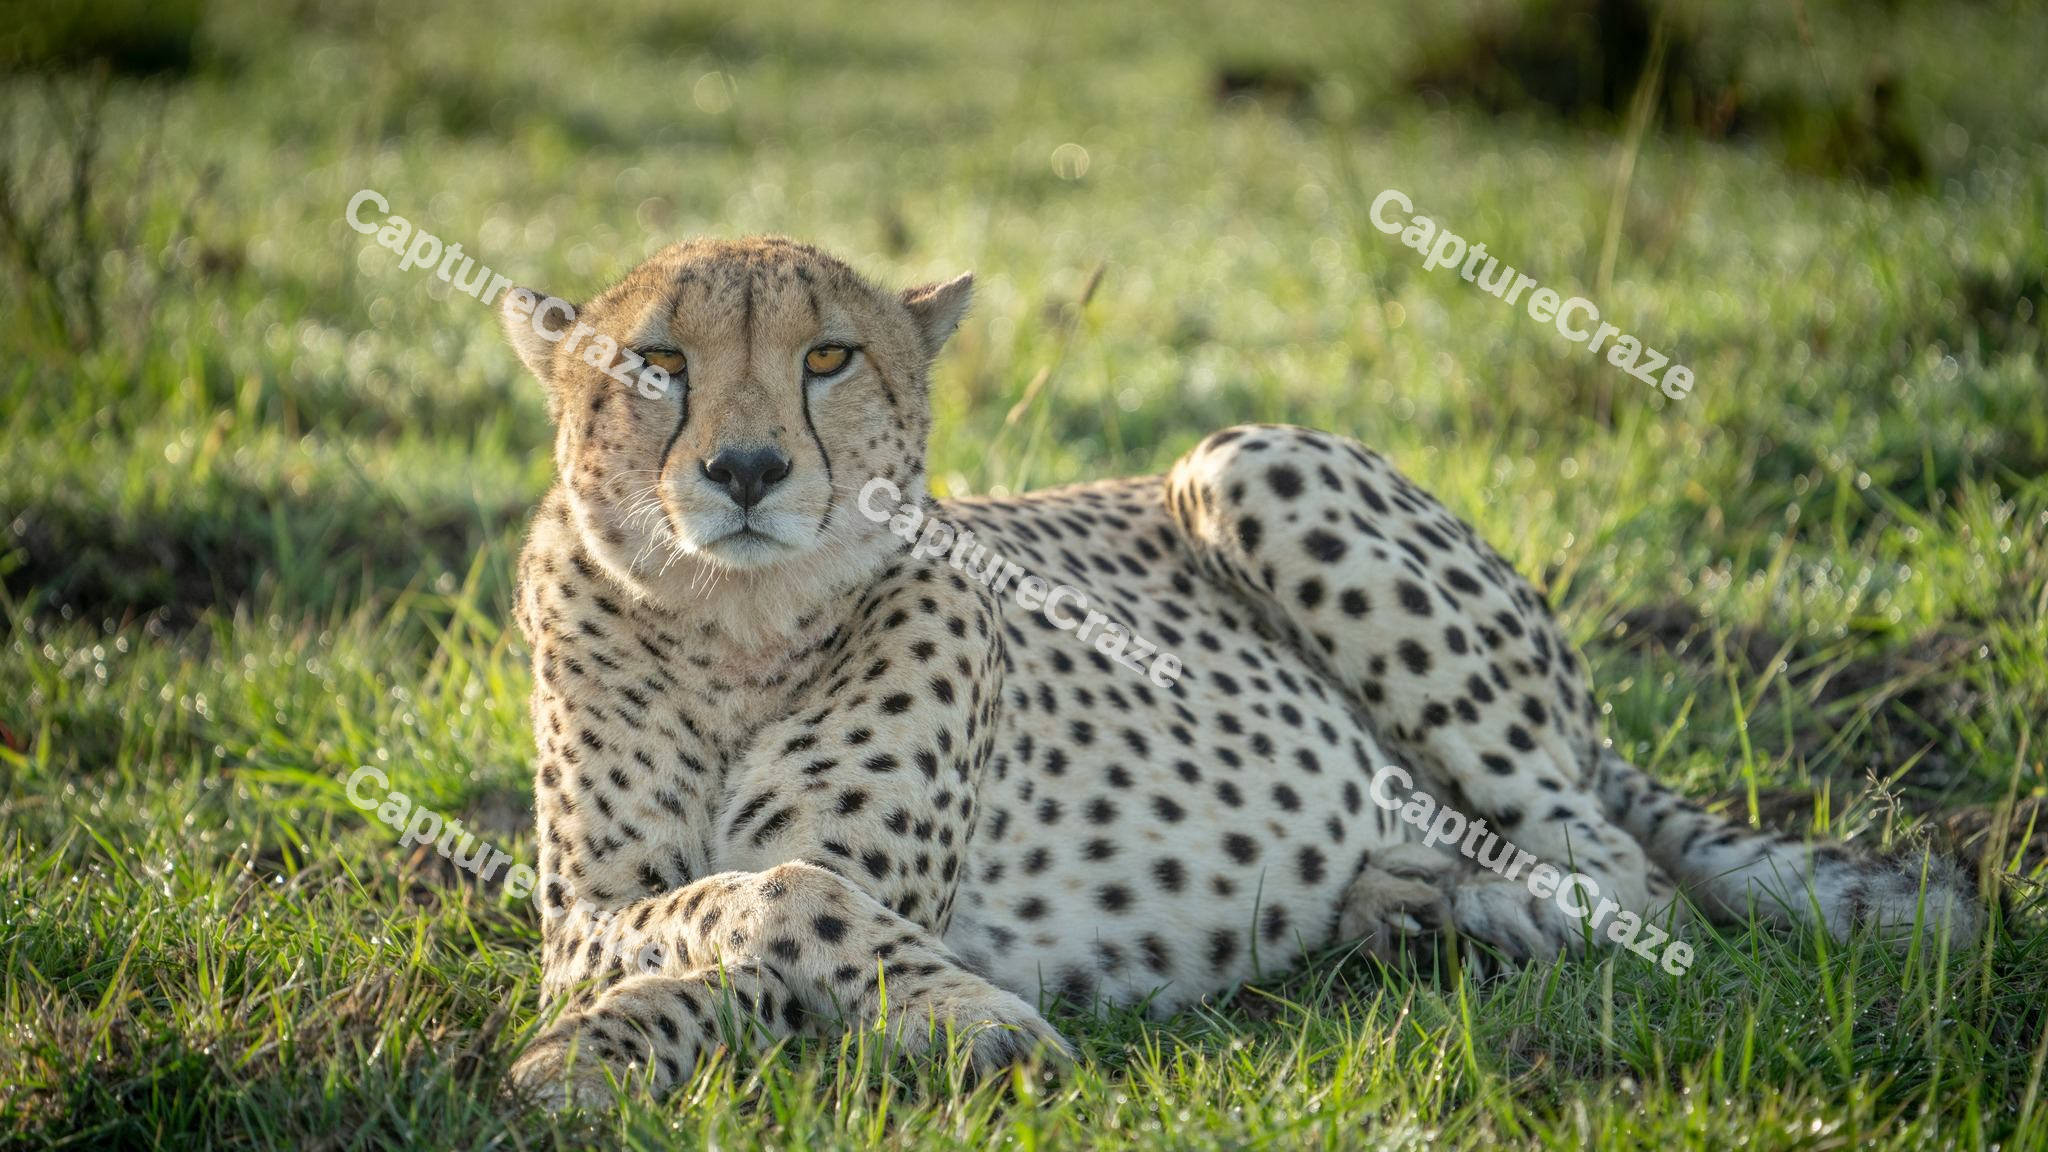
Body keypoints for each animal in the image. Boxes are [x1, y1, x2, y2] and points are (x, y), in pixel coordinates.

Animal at [493, 234, 1983, 1108]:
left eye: (828, 357)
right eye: (656, 364)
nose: (747, 470)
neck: (735, 630)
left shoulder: (862, 889)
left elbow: (788, 897)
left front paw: (971, 1017)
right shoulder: (578, 921)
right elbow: (733, 914)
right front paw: (585, 1060)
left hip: (1246, 459)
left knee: (1630, 882)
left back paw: (1491, 917)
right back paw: (1405, 906)